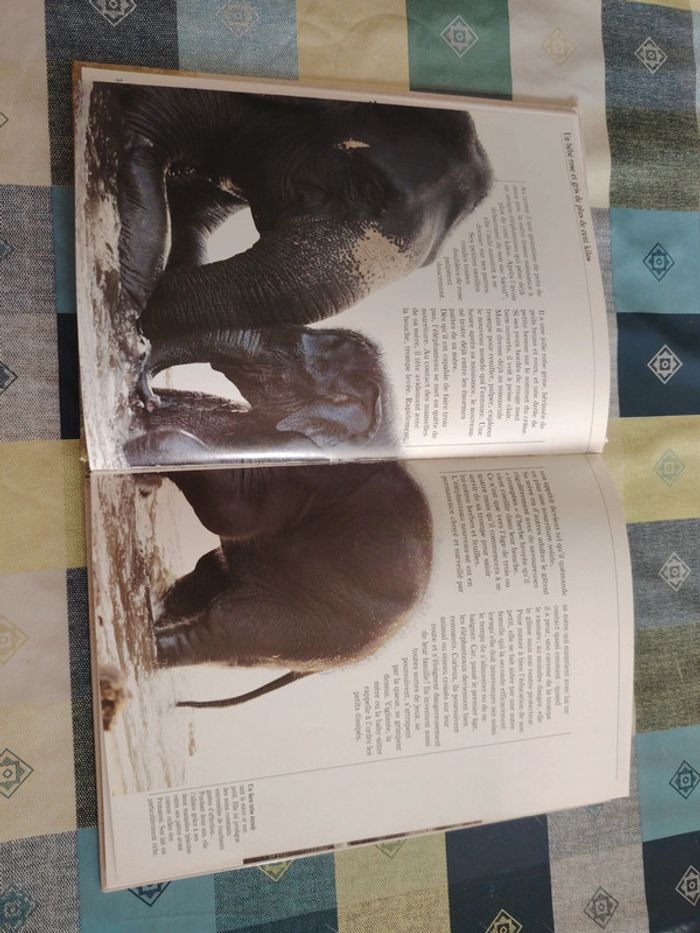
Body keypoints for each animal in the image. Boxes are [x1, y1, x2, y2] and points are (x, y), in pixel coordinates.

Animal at [100, 82, 492, 351]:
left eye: (429, 265)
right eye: (369, 187)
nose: (140, 331)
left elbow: (192, 220)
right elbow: (145, 137)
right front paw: (129, 300)